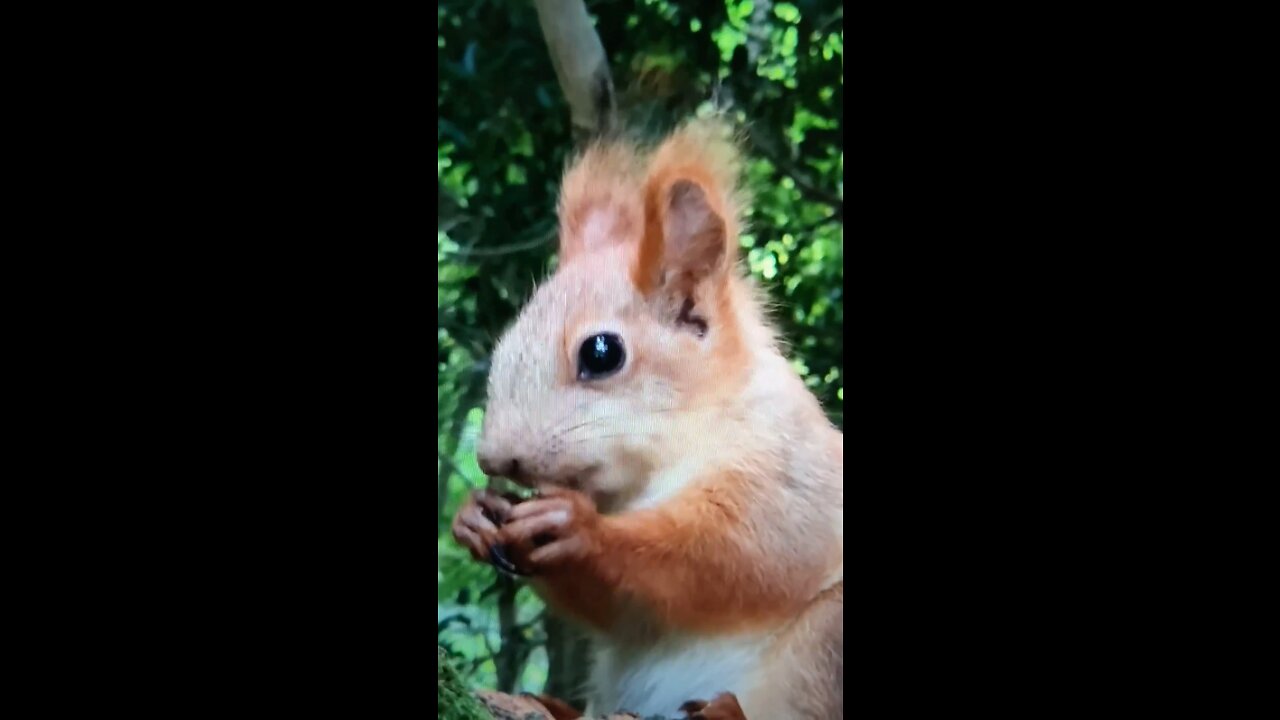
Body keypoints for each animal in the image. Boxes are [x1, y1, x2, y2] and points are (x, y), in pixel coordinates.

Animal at [455, 117, 844, 717]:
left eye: (601, 353)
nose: (493, 457)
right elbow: (620, 612)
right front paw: (472, 517)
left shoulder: (792, 483)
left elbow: (730, 557)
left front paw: (582, 530)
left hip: (826, 641)